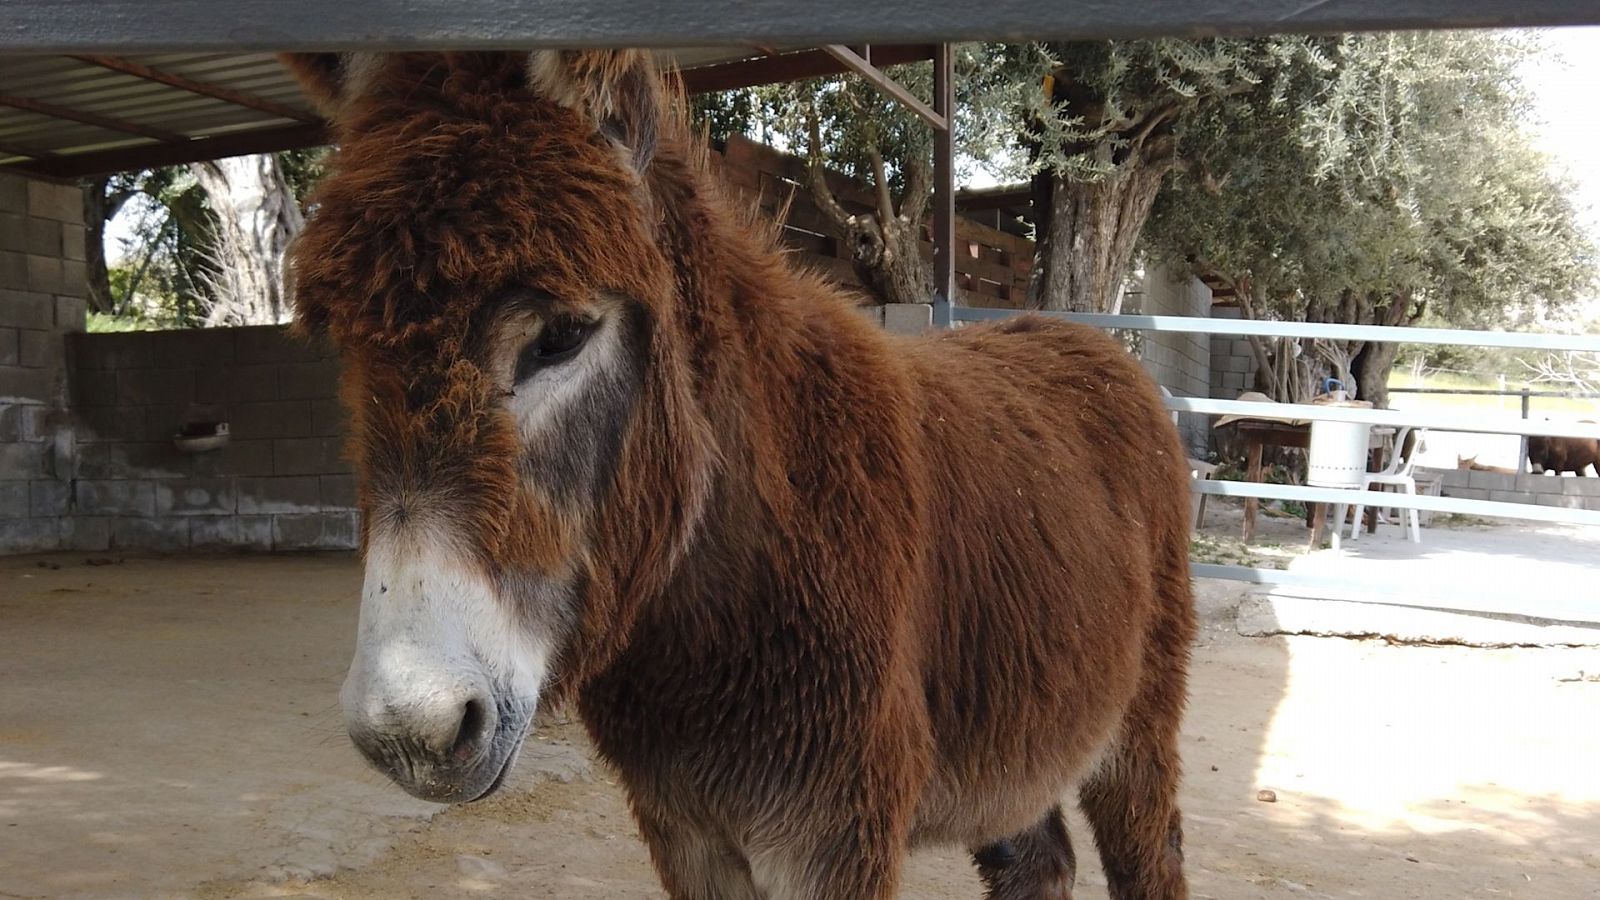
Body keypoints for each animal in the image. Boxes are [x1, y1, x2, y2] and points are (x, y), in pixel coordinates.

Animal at [281, 50, 1196, 896]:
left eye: (561, 337)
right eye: (352, 350)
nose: (408, 731)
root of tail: (1078, 336)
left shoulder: (837, 832)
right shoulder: (681, 824)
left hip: (1139, 721)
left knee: (1150, 854)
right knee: (1041, 860)